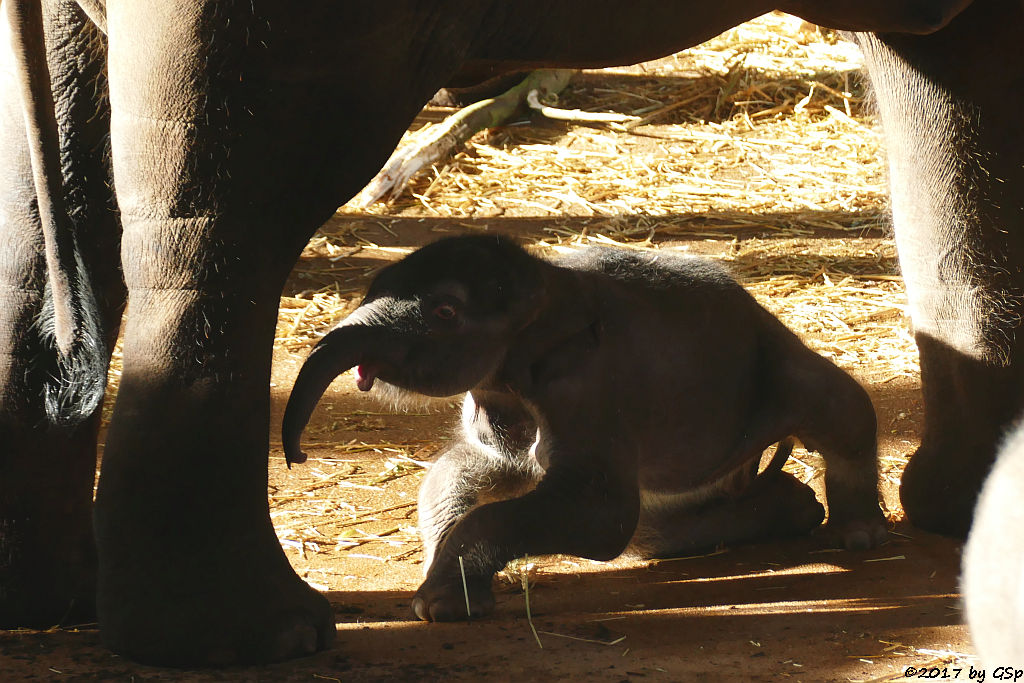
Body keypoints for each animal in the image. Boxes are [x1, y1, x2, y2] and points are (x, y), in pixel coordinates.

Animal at [282, 237, 888, 622]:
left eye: (445, 312)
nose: (296, 456)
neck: (550, 283)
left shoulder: (592, 393)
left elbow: (602, 517)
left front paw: (440, 606)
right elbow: (461, 472)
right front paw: (437, 591)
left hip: (778, 366)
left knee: (843, 408)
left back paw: (853, 533)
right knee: (654, 532)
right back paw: (796, 506)